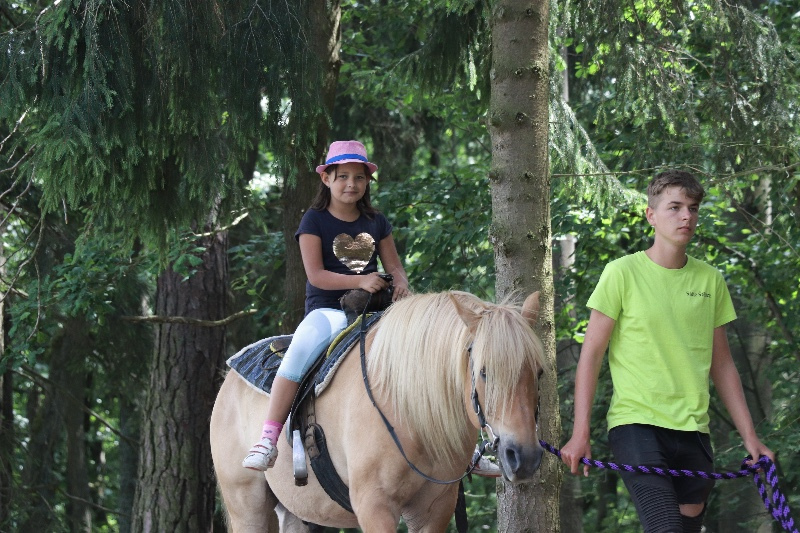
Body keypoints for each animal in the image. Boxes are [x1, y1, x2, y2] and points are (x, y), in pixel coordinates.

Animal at [210, 290, 545, 531]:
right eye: (484, 373)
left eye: (539, 372)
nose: (524, 457)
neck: (407, 407)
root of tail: (228, 378)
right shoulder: (375, 506)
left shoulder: (433, 509)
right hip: (247, 506)